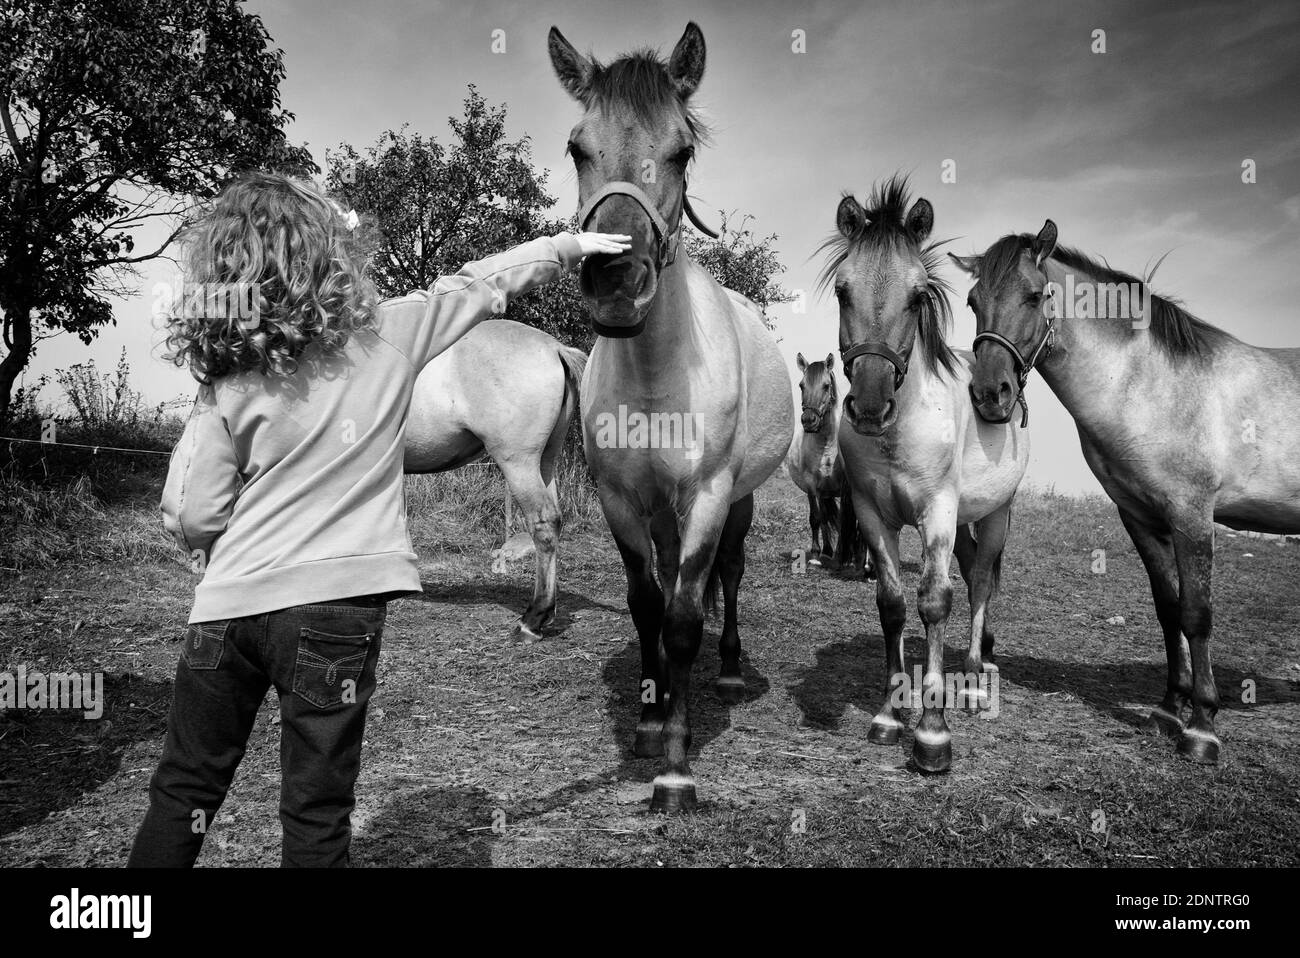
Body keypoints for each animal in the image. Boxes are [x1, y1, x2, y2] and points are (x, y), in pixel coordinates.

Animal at [546, 24, 790, 805]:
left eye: (681, 150)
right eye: (577, 147)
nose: (617, 284)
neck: (657, 381)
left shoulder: (708, 497)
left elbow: (684, 618)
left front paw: (677, 769)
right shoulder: (623, 501)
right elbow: (647, 603)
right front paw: (652, 724)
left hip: (737, 502)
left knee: (730, 575)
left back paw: (731, 666)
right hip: (659, 511)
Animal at [785, 356, 868, 571]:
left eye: (826, 385)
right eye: (801, 385)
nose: (809, 421)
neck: (826, 447)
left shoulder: (845, 486)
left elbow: (844, 519)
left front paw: (844, 557)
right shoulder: (812, 486)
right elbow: (816, 518)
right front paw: (816, 554)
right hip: (822, 492)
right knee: (822, 518)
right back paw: (825, 551)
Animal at [826, 178, 1029, 769]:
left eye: (917, 297)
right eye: (842, 291)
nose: (871, 406)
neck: (899, 433)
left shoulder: (937, 512)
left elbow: (936, 602)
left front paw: (933, 730)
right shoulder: (873, 516)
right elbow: (893, 605)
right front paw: (890, 715)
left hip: (995, 515)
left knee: (980, 582)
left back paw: (975, 682)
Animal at [956, 217, 1300, 764]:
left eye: (1033, 295)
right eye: (973, 301)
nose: (990, 394)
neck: (1151, 385)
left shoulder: (1191, 516)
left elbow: (1197, 615)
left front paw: (1202, 726)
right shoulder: (1140, 517)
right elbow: (1168, 610)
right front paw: (1169, 709)